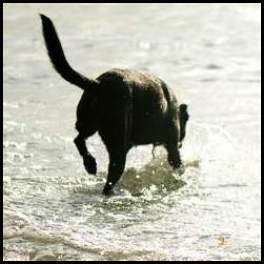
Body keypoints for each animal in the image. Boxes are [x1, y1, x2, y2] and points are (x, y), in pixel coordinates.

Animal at [40, 14, 189, 196]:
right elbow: (178, 164)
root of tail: (98, 84)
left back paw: (90, 164)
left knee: (78, 139)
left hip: (88, 123)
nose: (182, 140)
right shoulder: (172, 147)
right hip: (117, 144)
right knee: (111, 176)